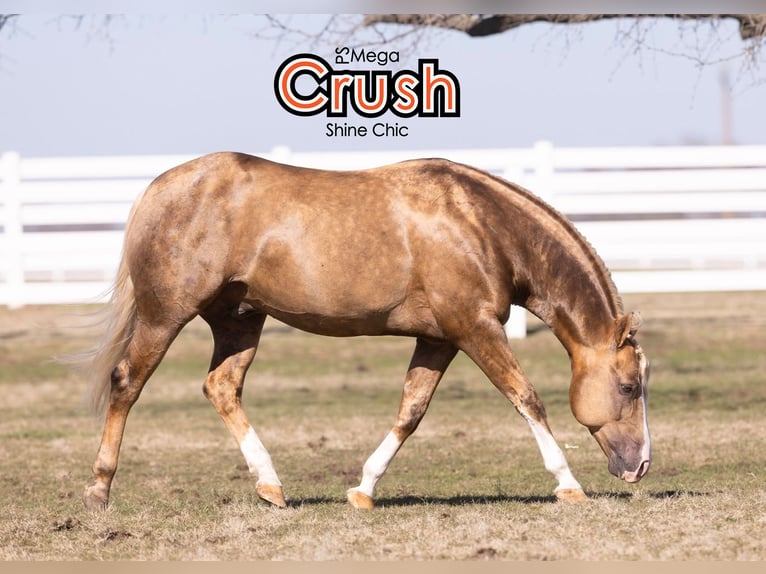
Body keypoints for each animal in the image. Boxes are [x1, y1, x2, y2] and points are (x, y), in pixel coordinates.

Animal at [80, 152, 651, 511]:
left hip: (239, 320)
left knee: (221, 387)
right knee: (126, 382)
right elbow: (527, 398)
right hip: (164, 316)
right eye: (628, 387)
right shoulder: (475, 329)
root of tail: (157, 189)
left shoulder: (440, 339)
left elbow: (410, 412)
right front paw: (568, 485)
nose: (640, 465)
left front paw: (363, 490)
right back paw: (99, 489)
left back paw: (271, 485)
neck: (479, 223)